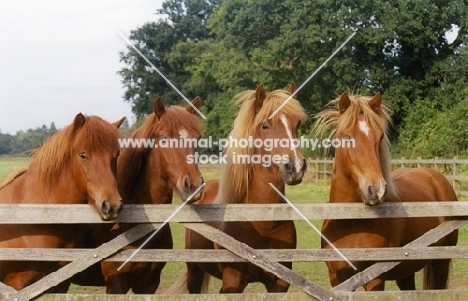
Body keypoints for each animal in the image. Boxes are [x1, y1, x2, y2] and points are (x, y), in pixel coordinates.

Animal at [168, 82, 308, 292]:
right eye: (264, 125)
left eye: (297, 124)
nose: (296, 167)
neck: (263, 224)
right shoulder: (233, 279)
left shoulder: (280, 283)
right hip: (195, 272)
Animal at [316, 92, 458, 290]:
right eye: (347, 138)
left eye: (380, 137)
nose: (376, 189)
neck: (349, 222)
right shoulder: (337, 278)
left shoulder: (374, 279)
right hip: (406, 272)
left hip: (441, 264)